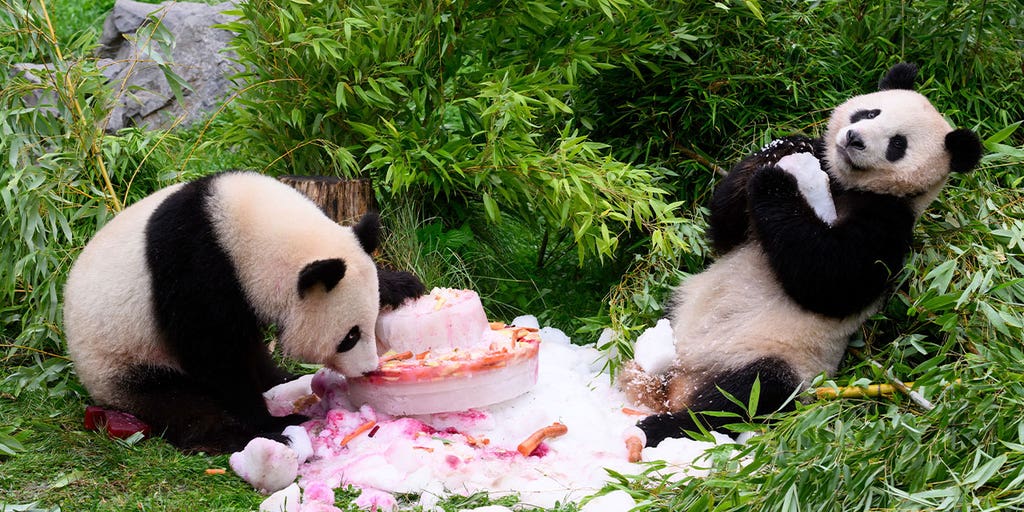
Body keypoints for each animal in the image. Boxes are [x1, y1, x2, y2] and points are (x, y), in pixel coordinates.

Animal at [63, 171, 425, 453]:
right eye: (349, 337)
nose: (368, 369)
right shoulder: (194, 269)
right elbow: (215, 356)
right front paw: (269, 423)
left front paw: (402, 285)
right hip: (123, 363)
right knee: (180, 403)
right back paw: (233, 436)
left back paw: (282, 379)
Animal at [619, 63, 983, 447]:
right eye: (870, 113)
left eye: (898, 144)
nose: (854, 138)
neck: (843, 185)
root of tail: (680, 382)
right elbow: (724, 230)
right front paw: (783, 149)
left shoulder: (889, 224)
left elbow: (830, 276)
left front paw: (776, 181)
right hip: (681, 310)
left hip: (776, 356)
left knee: (744, 397)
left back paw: (658, 429)